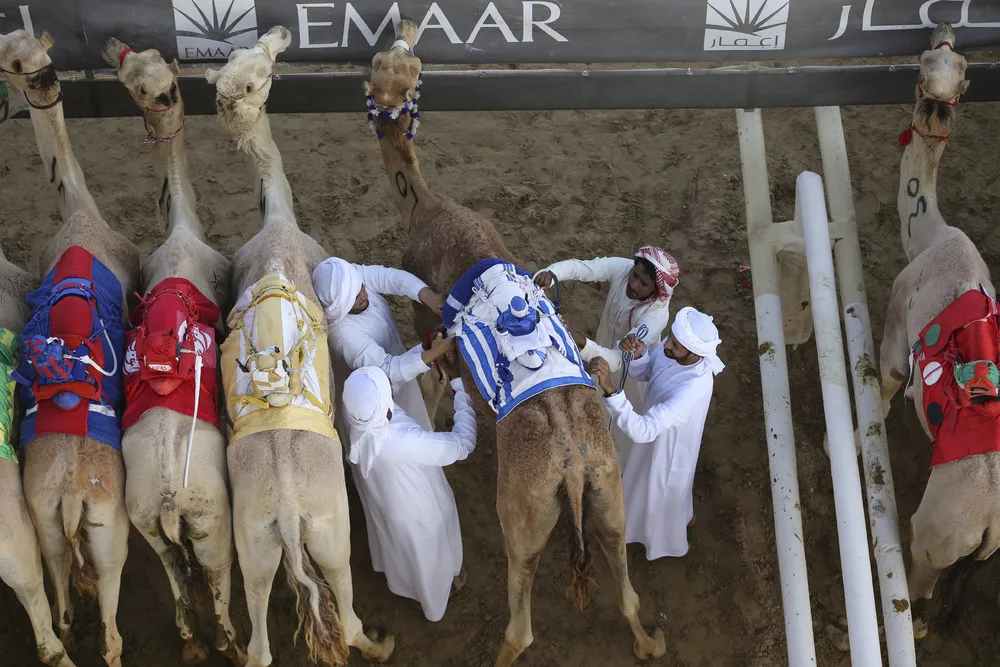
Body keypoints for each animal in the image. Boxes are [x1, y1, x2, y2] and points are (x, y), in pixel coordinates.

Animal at [204, 26, 394, 667]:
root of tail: (287, 511)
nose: (283, 33)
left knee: (261, 643)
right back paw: (381, 641)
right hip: (332, 537)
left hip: (255, 549)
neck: (276, 222)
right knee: (349, 615)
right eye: (261, 68)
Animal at [364, 18, 668, 664]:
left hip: (523, 524)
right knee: (627, 591)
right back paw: (649, 641)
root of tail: (573, 467)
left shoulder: (428, 328)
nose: (397, 37)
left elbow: (432, 385)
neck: (426, 207)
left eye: (385, 66)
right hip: (610, 502)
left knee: (520, 628)